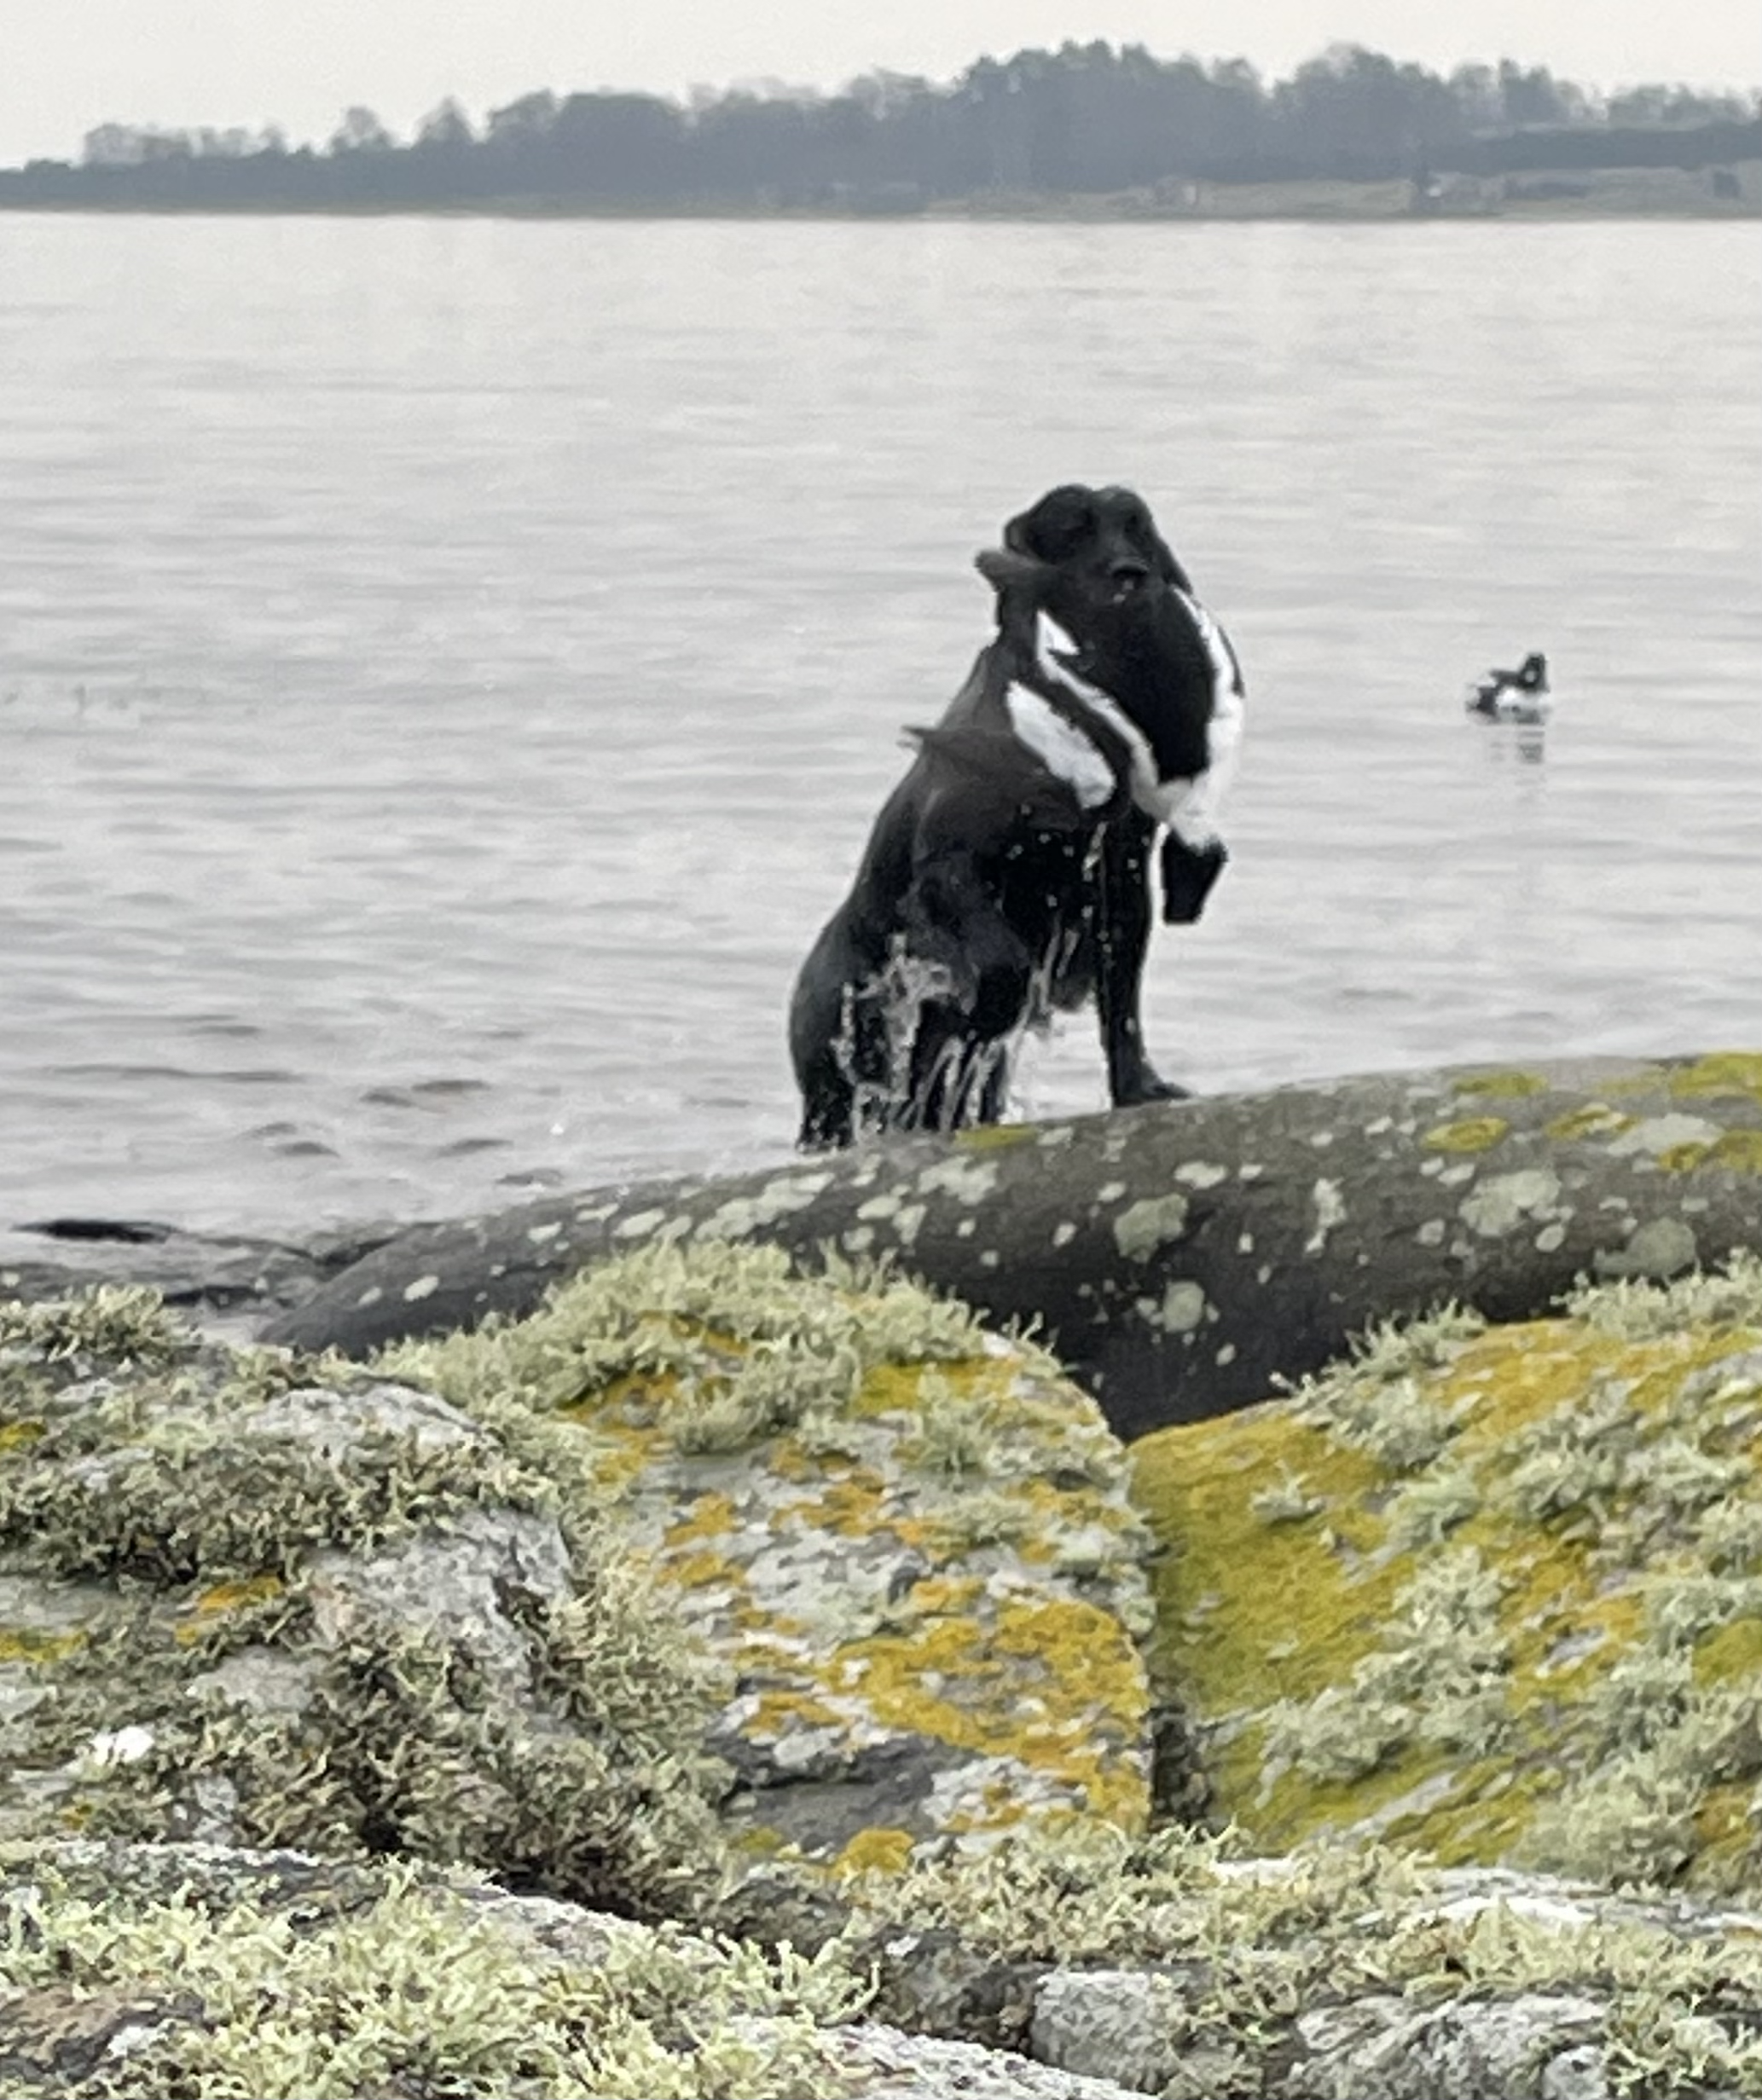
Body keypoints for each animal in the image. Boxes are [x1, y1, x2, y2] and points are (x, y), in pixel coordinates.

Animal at [788, 484, 1244, 1152]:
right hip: (833, 1073)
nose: (1131, 576)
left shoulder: (1117, 880)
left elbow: (1121, 1002)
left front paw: (1139, 1088)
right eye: (1071, 529)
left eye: (1136, 527)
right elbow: (1003, 964)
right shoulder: (951, 868)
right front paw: (987, 1005)